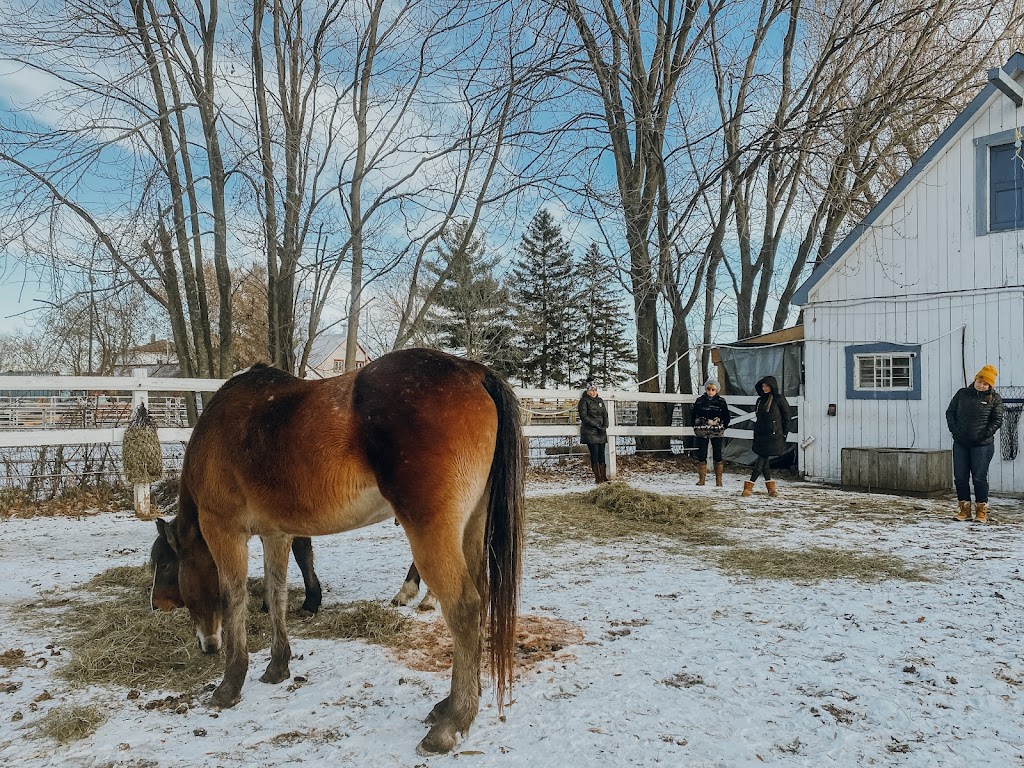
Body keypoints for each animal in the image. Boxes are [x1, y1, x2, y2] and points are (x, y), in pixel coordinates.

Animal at [149, 350, 528, 757]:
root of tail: (474, 373)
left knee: (464, 609)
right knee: (479, 602)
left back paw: (452, 722)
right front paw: (277, 666)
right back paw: (451, 706)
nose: (156, 605)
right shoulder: (276, 533)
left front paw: (230, 684)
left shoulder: (225, 530)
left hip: (431, 532)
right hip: (471, 528)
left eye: (166, 564)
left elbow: (233, 598)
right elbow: (275, 593)